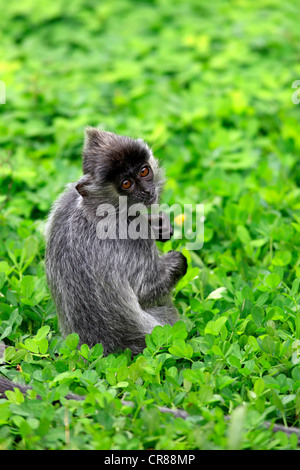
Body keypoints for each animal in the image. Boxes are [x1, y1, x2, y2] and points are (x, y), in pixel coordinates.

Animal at [44, 126, 188, 354]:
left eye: (144, 171)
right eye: (126, 183)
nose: (147, 191)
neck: (94, 209)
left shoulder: (66, 199)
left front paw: (159, 225)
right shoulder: (130, 235)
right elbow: (146, 292)